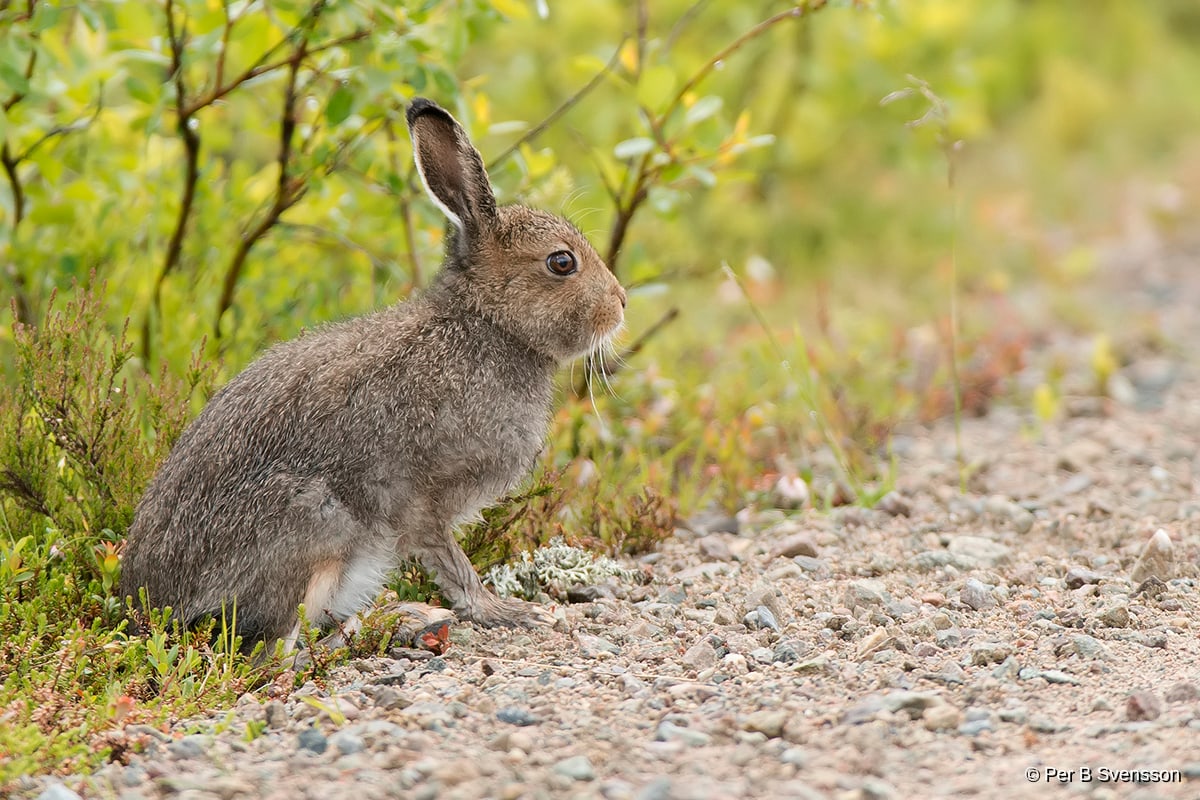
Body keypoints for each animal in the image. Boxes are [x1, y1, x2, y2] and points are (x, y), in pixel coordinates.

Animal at [119, 97, 627, 652]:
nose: (622, 303)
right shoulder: (425, 499)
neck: (488, 323)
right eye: (562, 263)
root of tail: (147, 607)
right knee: (276, 652)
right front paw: (506, 611)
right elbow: (454, 564)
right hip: (314, 526)